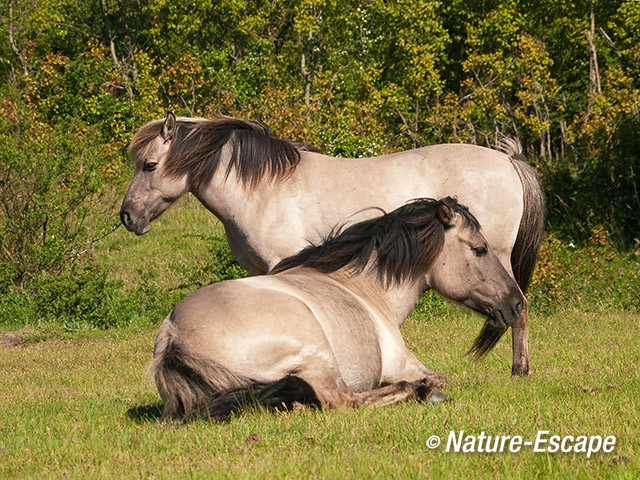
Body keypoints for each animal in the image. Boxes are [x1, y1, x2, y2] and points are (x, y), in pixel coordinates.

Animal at [122, 113, 544, 376]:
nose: (127, 216)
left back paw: (520, 371)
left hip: (501, 259)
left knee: (519, 305)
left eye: (149, 166)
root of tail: (508, 161)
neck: (265, 190)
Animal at [152, 196, 524, 420]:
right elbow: (439, 378)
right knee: (343, 400)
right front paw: (428, 389)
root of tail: (174, 337)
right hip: (317, 353)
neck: (365, 289)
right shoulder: (406, 365)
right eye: (479, 249)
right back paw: (420, 393)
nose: (516, 302)